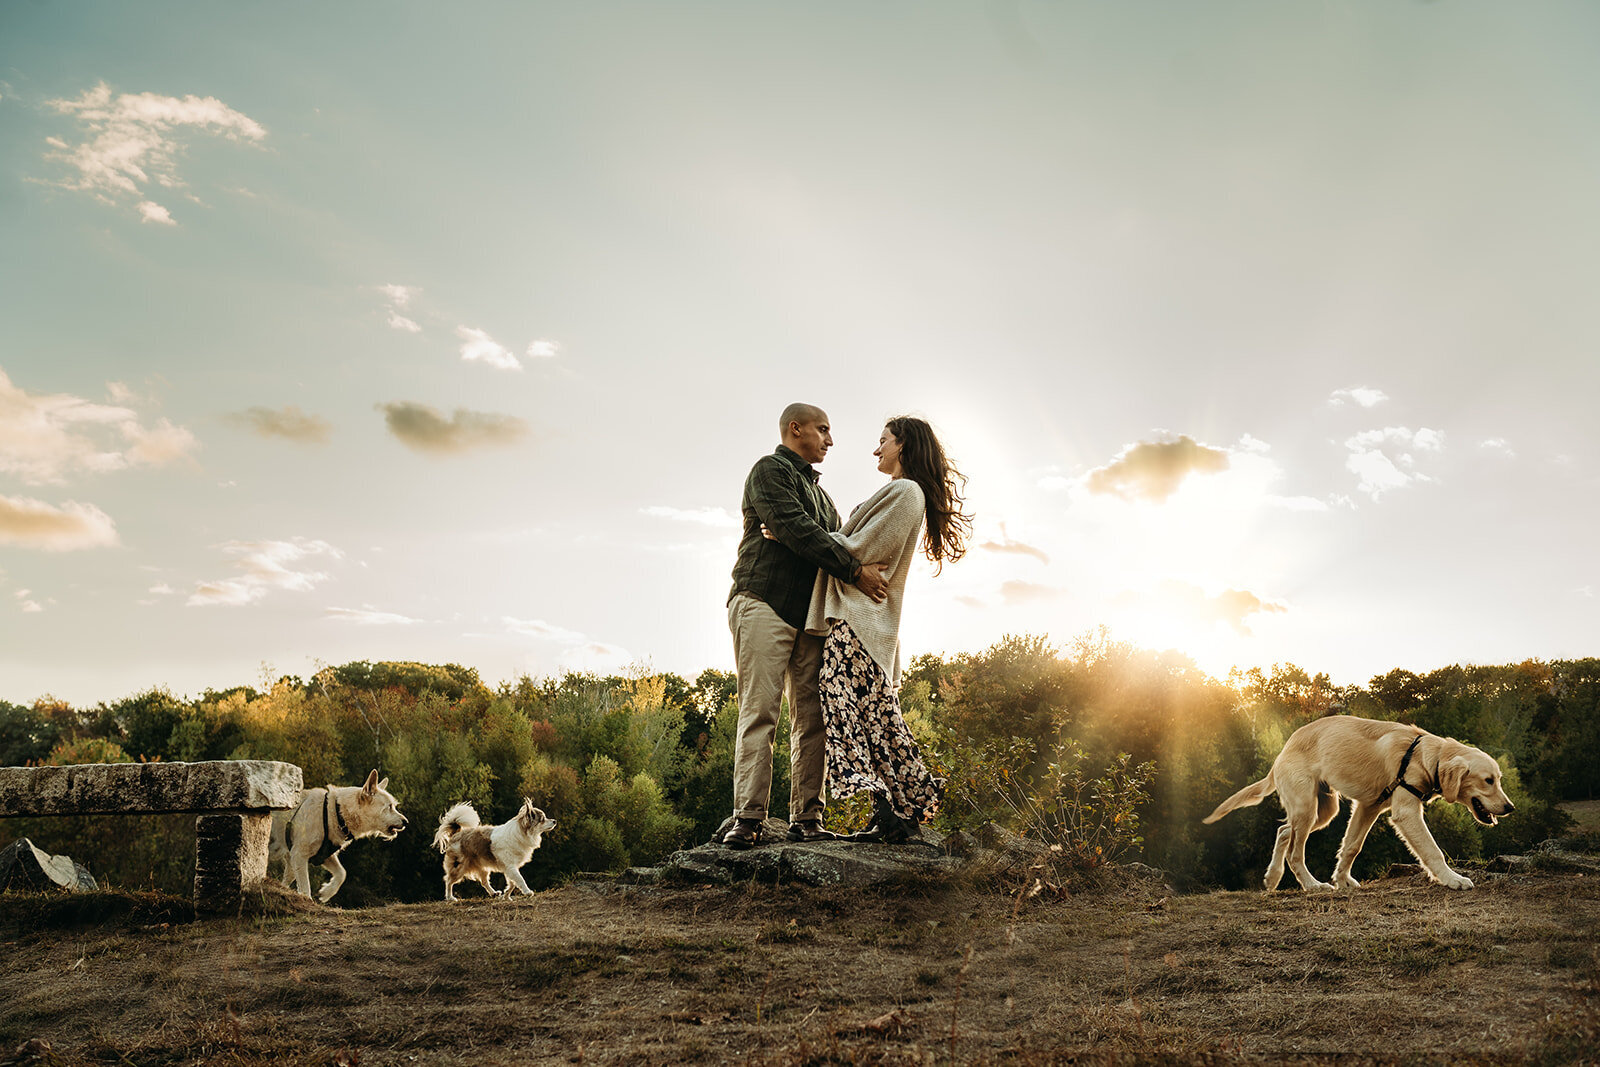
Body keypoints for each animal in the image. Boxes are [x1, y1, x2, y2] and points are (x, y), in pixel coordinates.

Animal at [270, 771, 409, 908]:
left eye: (394, 806)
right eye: (389, 807)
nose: (406, 822)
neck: (337, 813)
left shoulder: (325, 856)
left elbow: (342, 873)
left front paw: (326, 892)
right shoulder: (299, 855)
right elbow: (305, 886)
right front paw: (308, 900)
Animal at [1203, 716, 1516, 895]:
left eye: (1498, 779)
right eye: (1488, 780)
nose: (1510, 807)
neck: (1425, 755)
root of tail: (1282, 751)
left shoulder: (1369, 807)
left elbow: (1352, 846)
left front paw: (1343, 879)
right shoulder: (1405, 812)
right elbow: (1432, 850)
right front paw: (1453, 879)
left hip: (1323, 810)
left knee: (1283, 832)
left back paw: (1272, 878)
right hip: (1306, 807)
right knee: (1294, 851)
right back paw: (1312, 885)